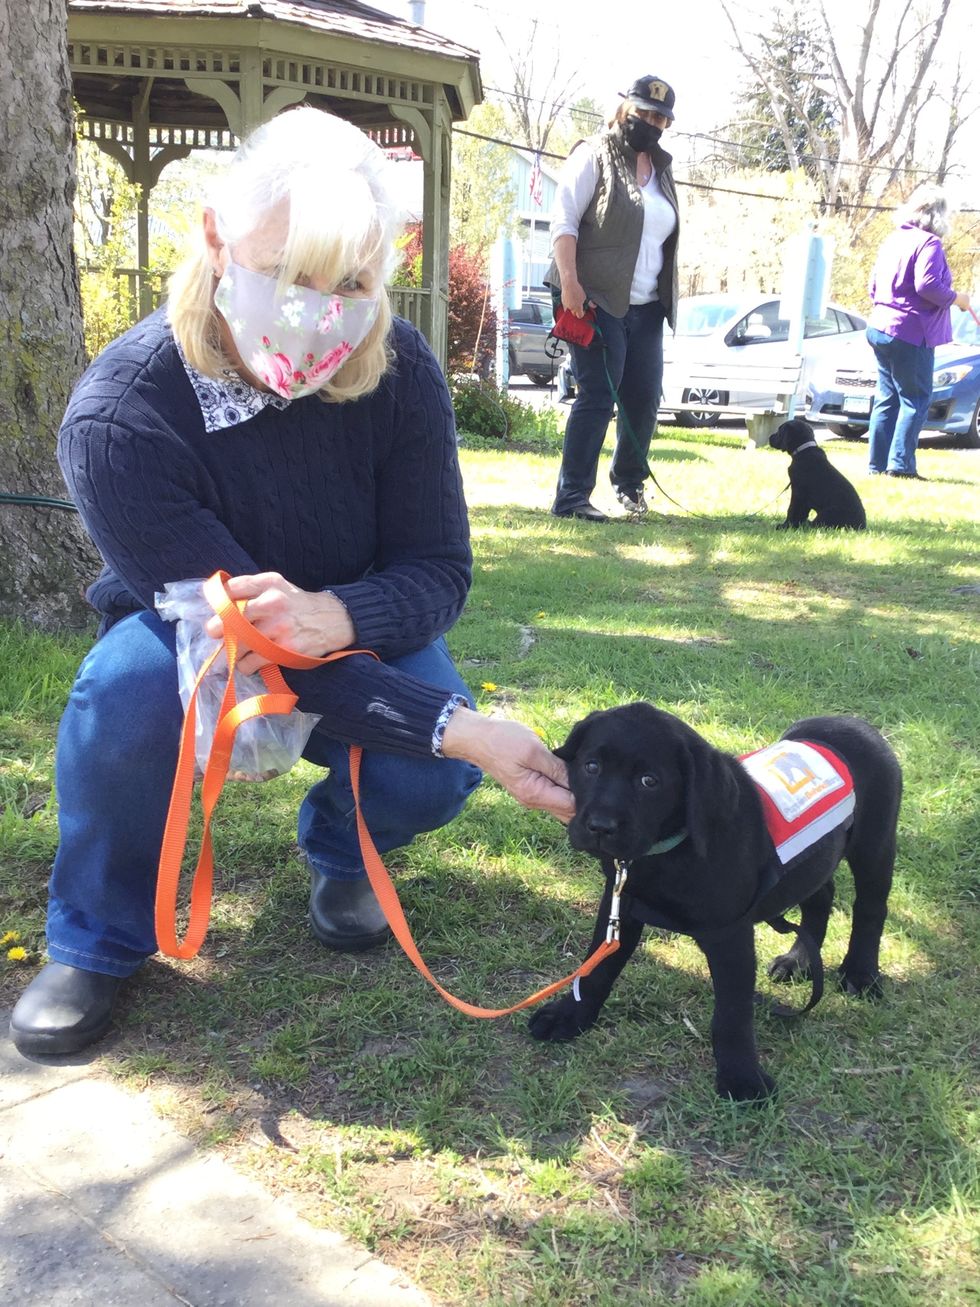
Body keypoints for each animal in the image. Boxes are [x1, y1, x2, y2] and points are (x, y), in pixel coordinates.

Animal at [533, 705, 904, 1103]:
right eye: (591, 767)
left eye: (649, 782)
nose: (601, 826)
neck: (667, 851)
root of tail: (857, 723)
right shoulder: (620, 905)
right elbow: (595, 970)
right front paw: (570, 1016)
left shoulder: (730, 935)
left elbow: (731, 1014)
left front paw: (742, 1078)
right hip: (814, 859)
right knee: (821, 895)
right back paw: (798, 962)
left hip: (875, 844)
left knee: (870, 909)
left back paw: (860, 974)